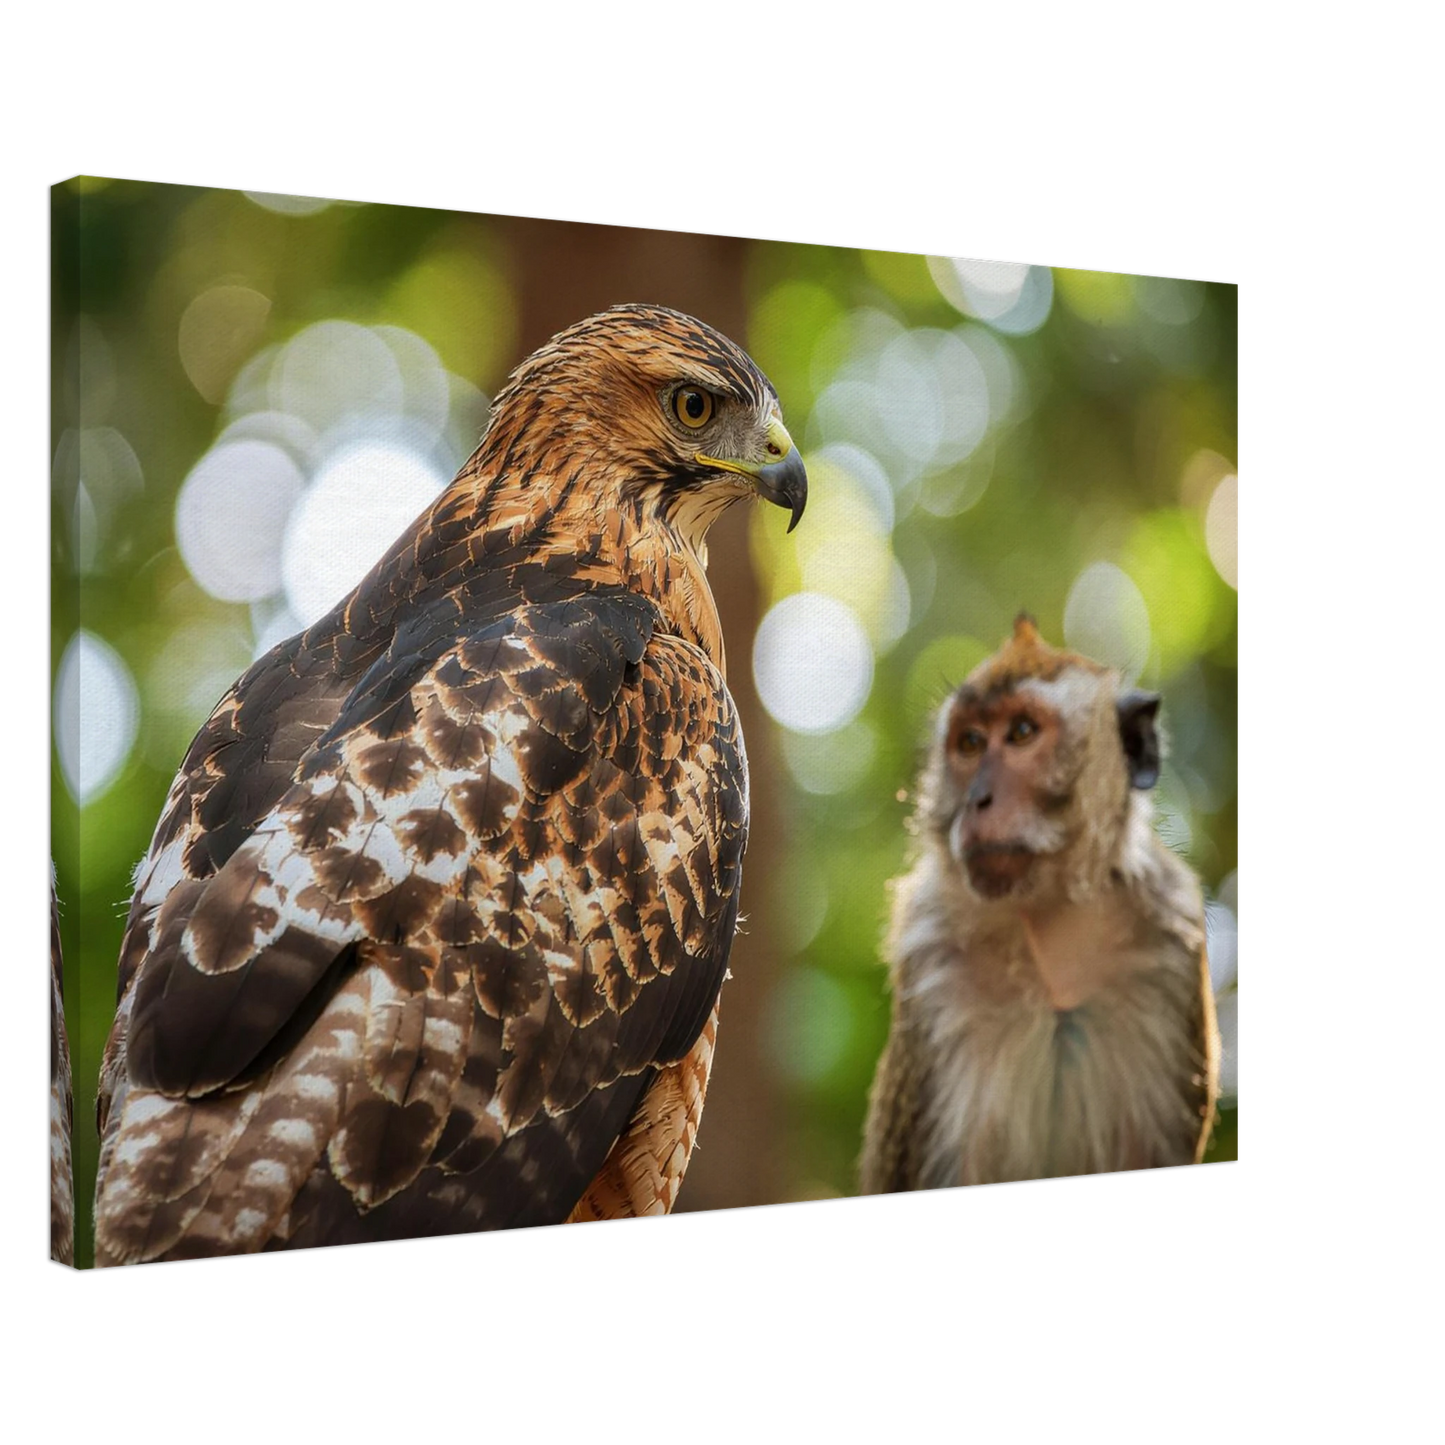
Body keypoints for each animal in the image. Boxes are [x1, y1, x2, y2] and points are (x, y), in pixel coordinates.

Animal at [859, 614, 1219, 1193]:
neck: (1051, 928)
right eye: (970, 742)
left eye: (1023, 733)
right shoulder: (930, 959)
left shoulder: (1172, 941)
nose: (978, 799)